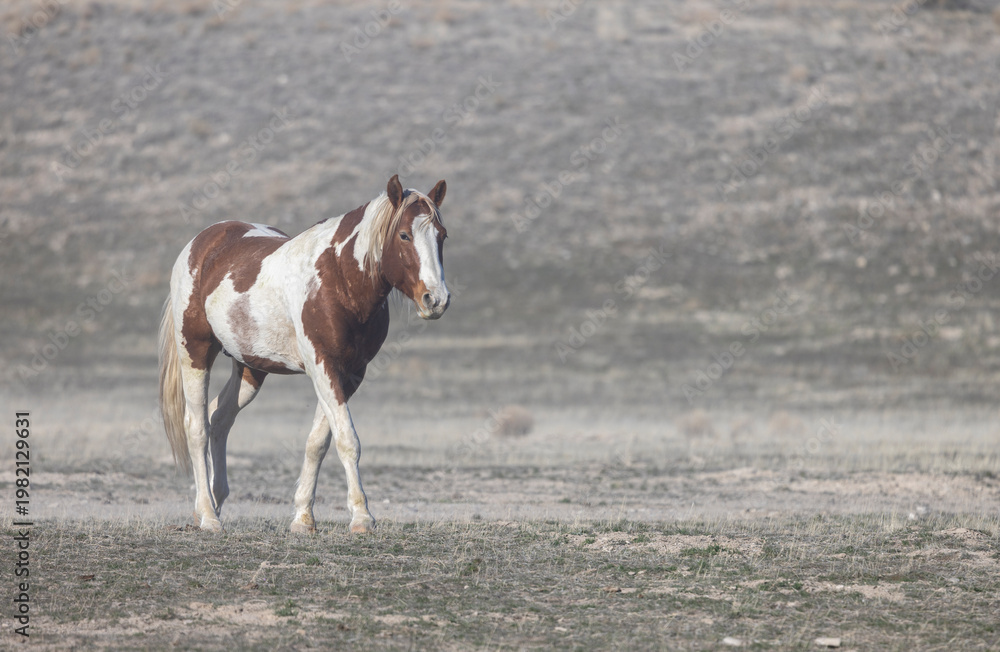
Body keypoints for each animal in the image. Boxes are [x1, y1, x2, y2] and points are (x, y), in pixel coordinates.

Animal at [158, 175, 449, 534]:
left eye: (442, 235)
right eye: (405, 235)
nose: (436, 299)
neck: (339, 278)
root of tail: (201, 242)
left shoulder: (350, 374)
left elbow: (318, 442)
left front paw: (303, 517)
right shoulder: (323, 366)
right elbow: (347, 440)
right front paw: (362, 516)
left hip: (250, 369)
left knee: (219, 420)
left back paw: (214, 500)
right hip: (195, 352)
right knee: (197, 427)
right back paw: (208, 515)